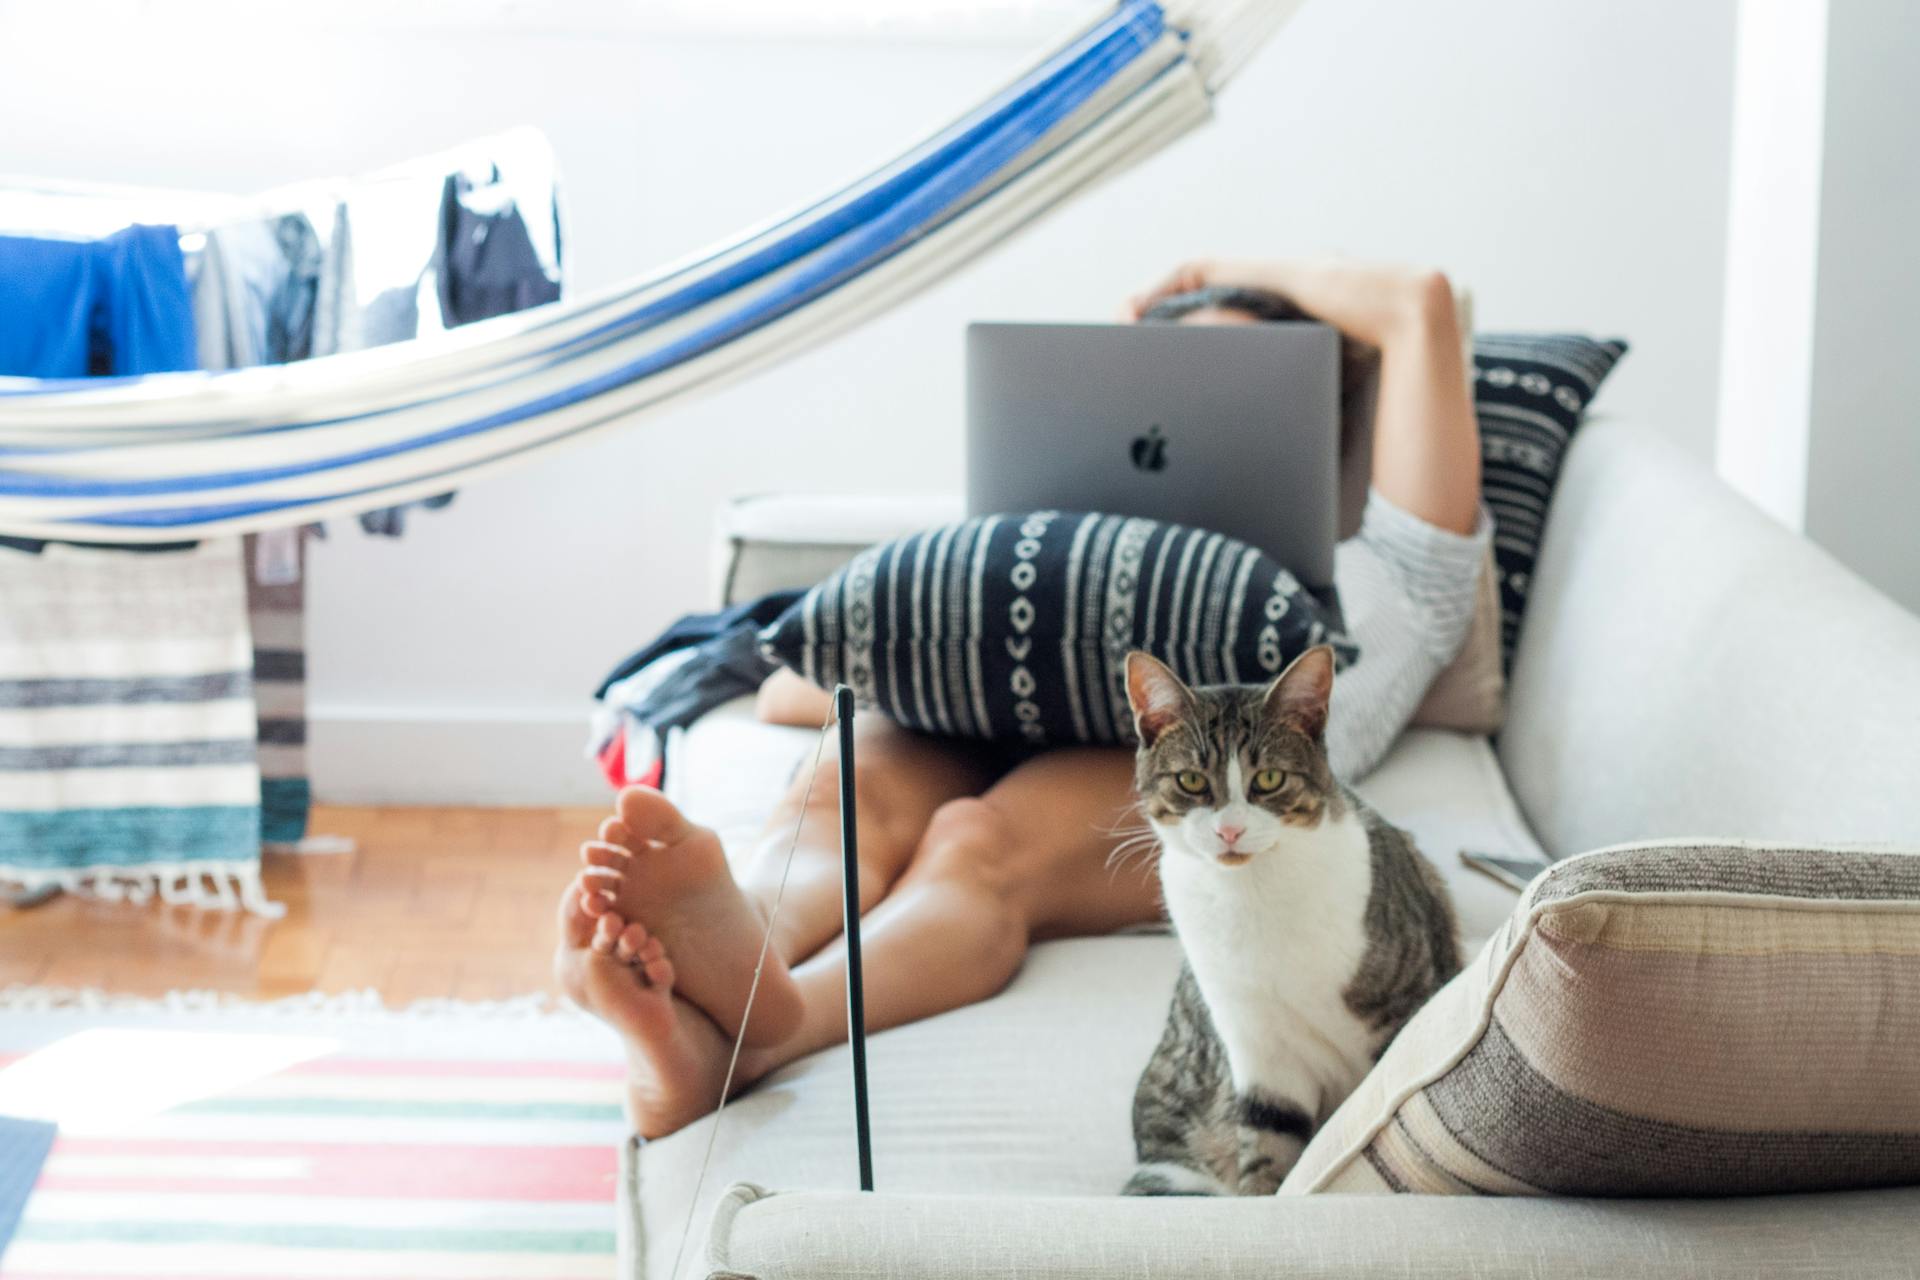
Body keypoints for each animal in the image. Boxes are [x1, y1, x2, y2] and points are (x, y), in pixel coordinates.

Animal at [1121, 652, 1451, 1205]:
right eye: (1191, 781)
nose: (1229, 830)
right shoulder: (1258, 1047)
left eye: (1270, 779)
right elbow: (1270, 1140)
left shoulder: (1402, 1006)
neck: (1253, 895)